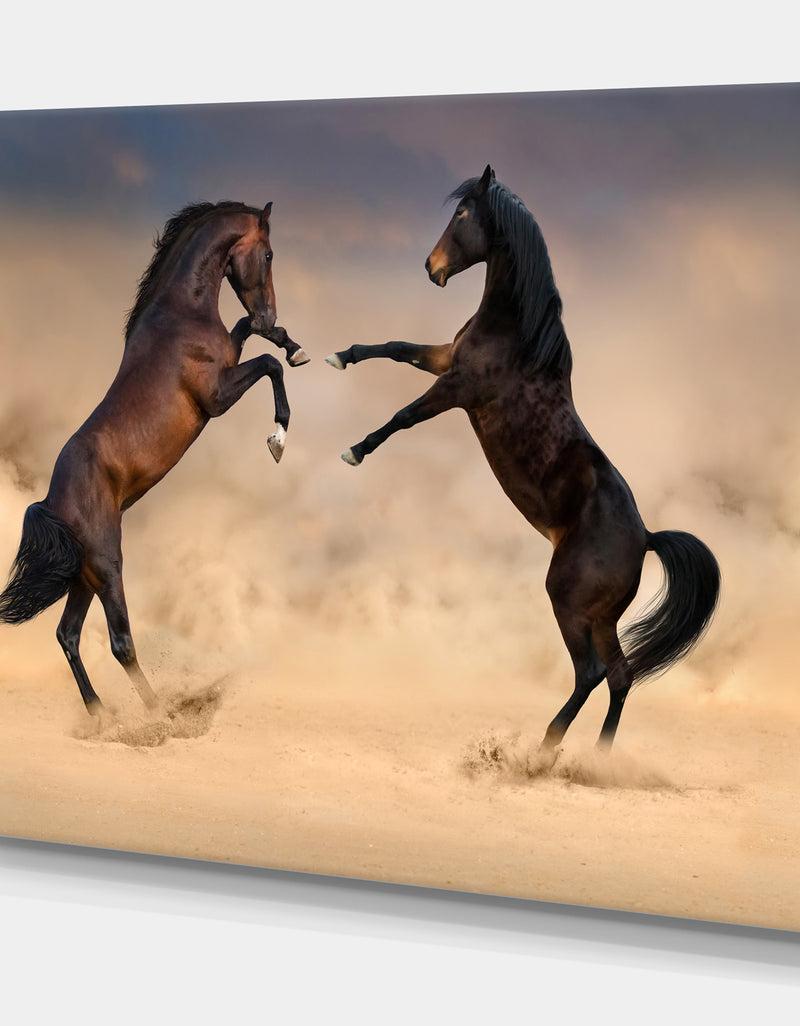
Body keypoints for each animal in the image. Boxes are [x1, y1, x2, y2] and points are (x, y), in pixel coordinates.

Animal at [0, 200, 309, 717]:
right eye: (268, 255)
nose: (270, 313)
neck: (181, 314)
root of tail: (49, 502)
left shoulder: (231, 357)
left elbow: (252, 337)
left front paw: (293, 343)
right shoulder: (217, 396)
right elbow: (270, 366)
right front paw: (278, 438)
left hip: (85, 576)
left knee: (68, 634)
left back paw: (101, 717)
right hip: (108, 565)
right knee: (120, 642)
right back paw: (158, 716)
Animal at [326, 165, 720, 752]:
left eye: (463, 213)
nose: (431, 268)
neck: (515, 336)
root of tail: (647, 537)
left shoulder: (457, 388)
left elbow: (404, 416)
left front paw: (355, 450)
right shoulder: (444, 358)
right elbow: (396, 347)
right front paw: (340, 356)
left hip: (568, 601)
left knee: (590, 673)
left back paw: (544, 748)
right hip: (600, 617)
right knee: (620, 676)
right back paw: (593, 758)